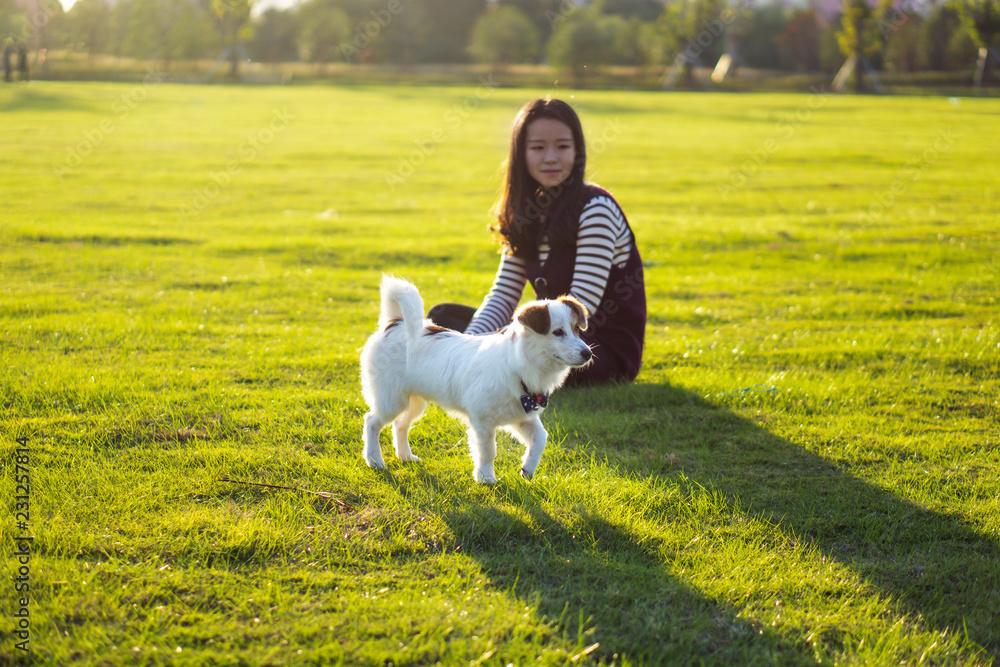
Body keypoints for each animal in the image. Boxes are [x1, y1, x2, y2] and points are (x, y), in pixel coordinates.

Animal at [362, 274, 588, 482]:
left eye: (577, 329)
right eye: (557, 332)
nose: (588, 353)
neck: (517, 365)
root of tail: (395, 323)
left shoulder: (523, 417)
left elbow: (541, 438)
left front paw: (528, 467)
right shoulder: (482, 421)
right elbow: (488, 451)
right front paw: (485, 478)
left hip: (414, 401)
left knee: (400, 424)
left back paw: (405, 456)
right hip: (391, 399)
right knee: (372, 421)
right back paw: (374, 460)